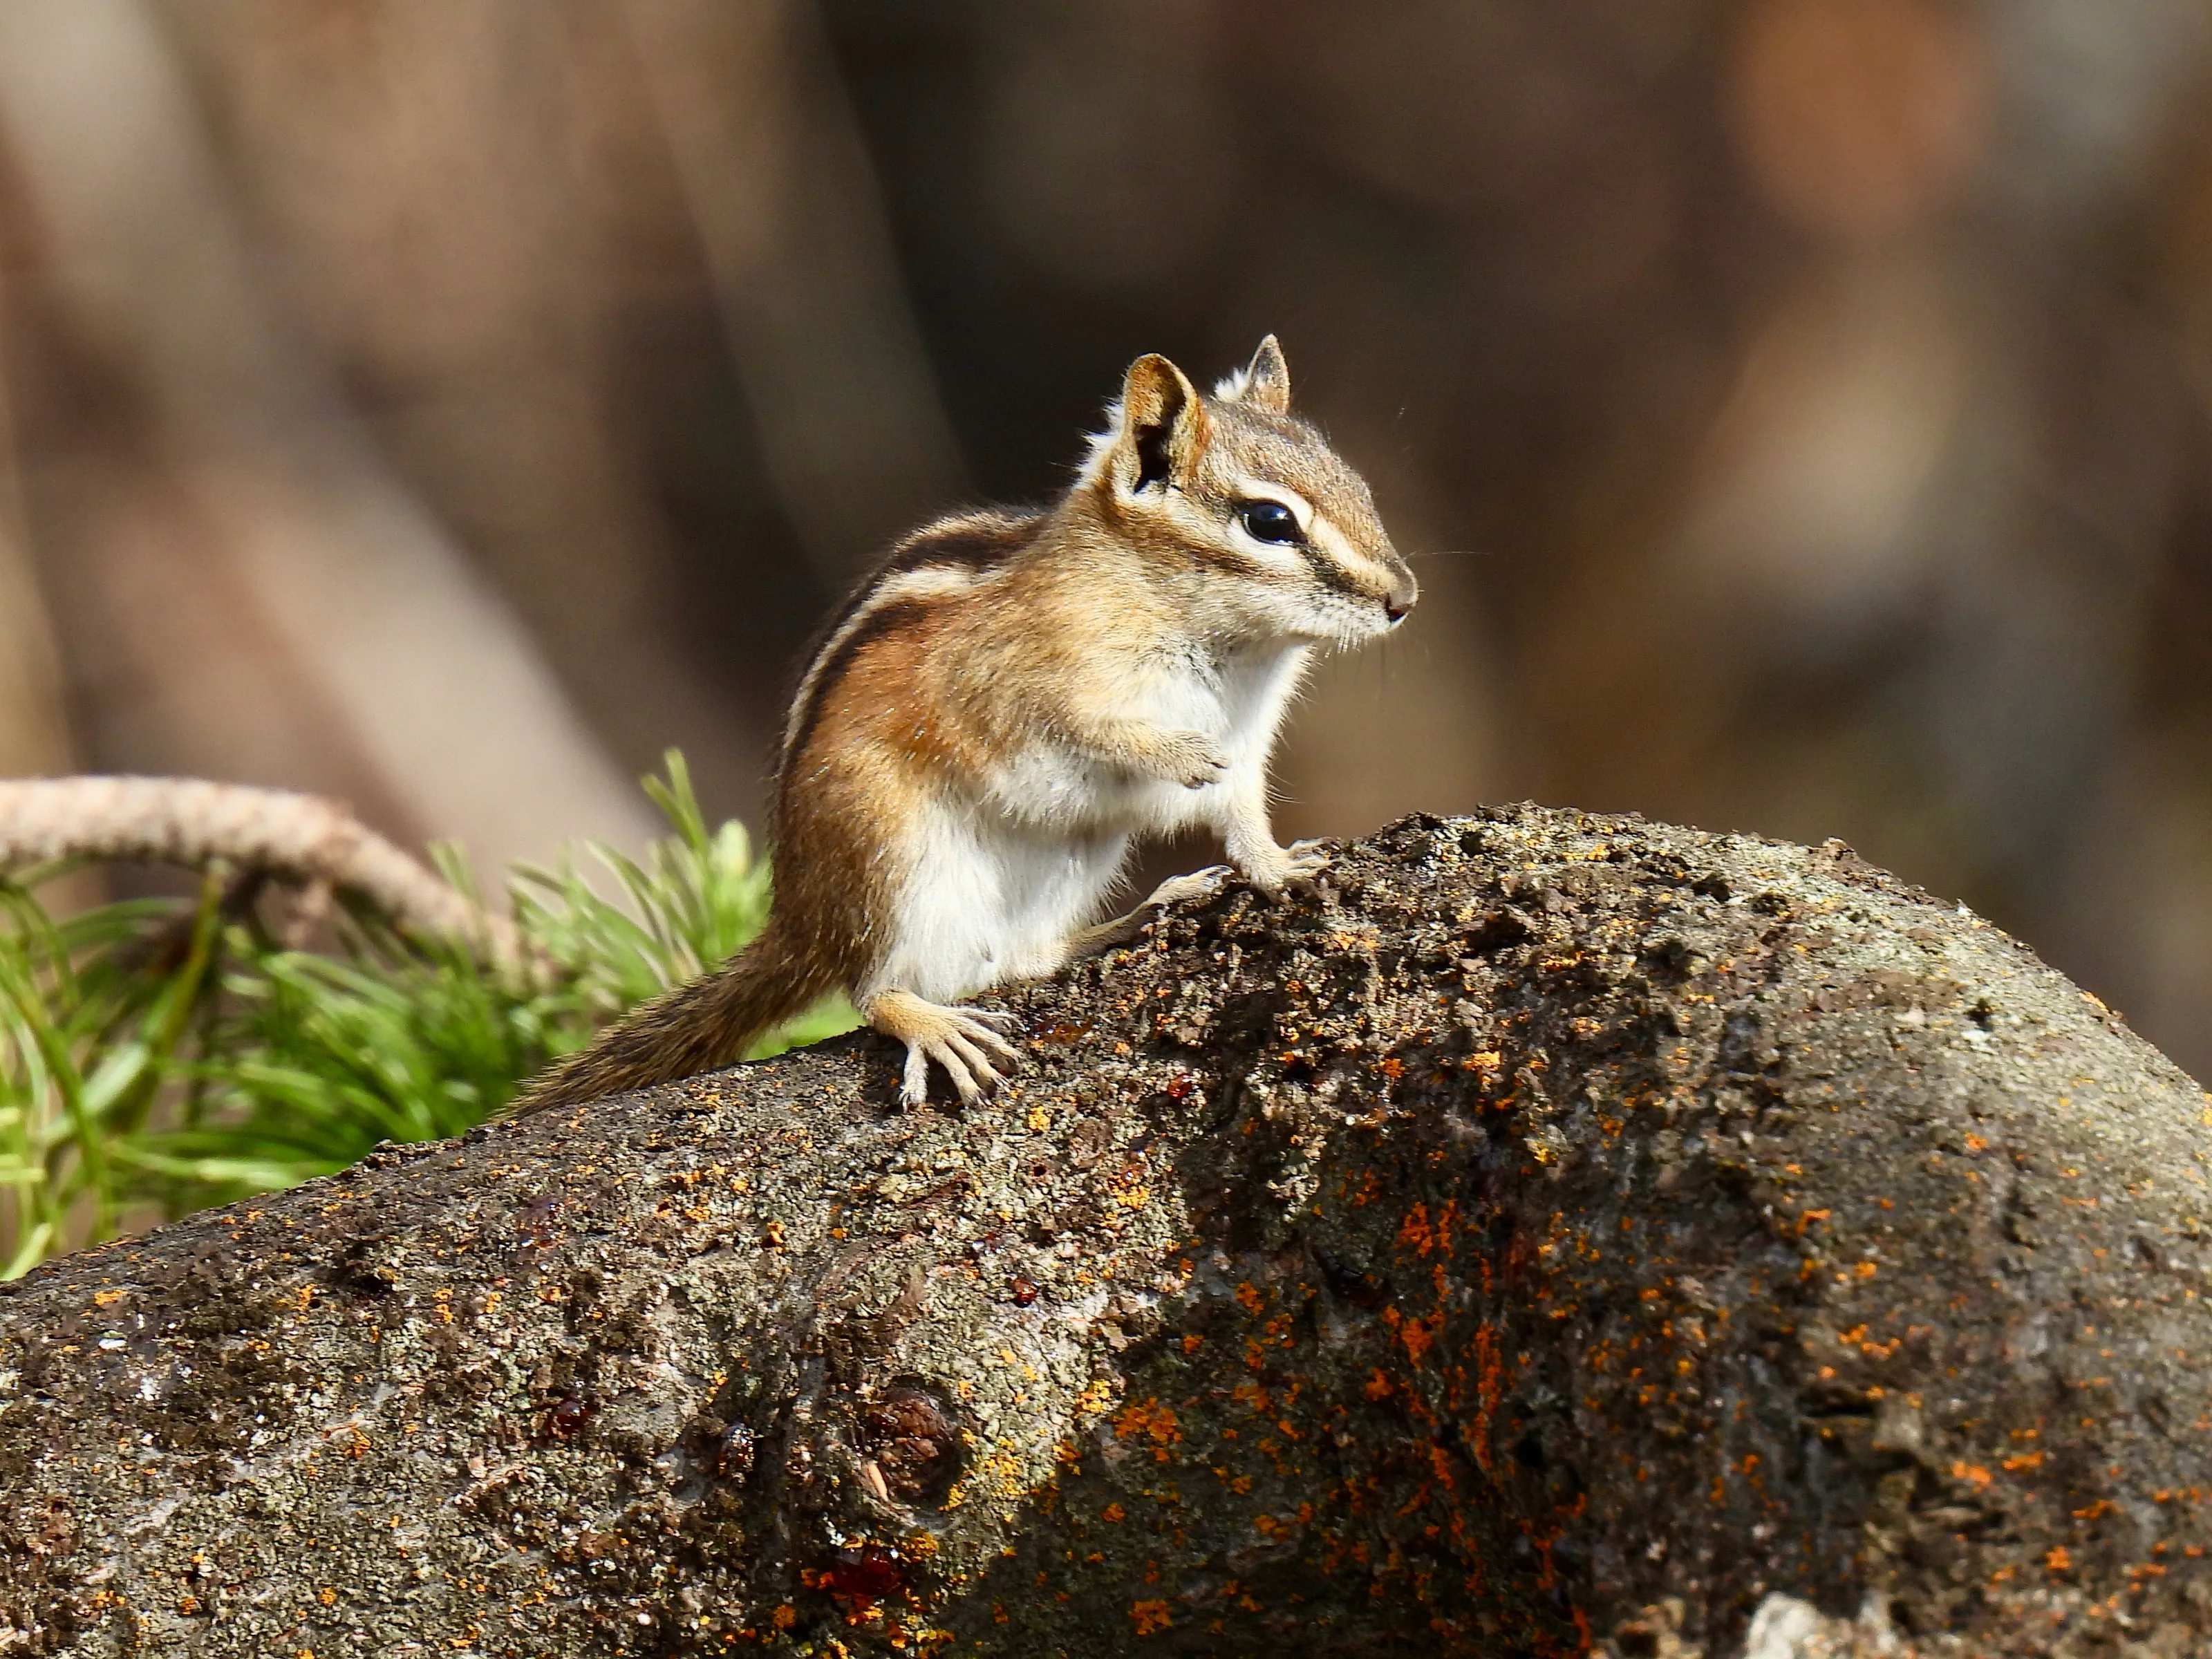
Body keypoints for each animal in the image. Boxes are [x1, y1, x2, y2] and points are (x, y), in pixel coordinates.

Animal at [512, 336, 1416, 1114]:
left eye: (1358, 486)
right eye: (1269, 522)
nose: (1403, 599)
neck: (1224, 644)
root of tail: (804, 922)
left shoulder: (1249, 743)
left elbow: (1242, 817)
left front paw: (1279, 866)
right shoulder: (1025, 679)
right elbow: (1097, 731)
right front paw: (1173, 752)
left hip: (1069, 862)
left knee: (1021, 959)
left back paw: (1144, 910)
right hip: (891, 855)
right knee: (875, 989)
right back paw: (929, 1021)